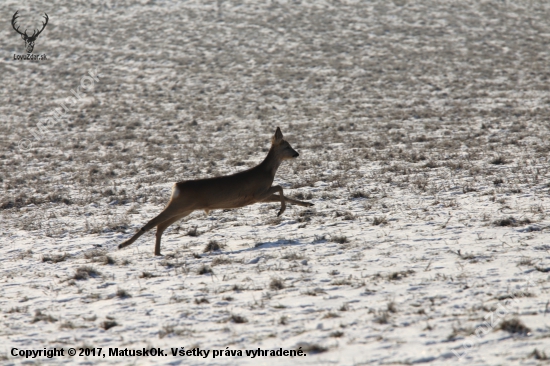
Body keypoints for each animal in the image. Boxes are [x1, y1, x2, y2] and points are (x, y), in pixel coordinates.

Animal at [118, 127, 312, 256]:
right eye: (286, 146)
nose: (296, 154)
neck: (266, 172)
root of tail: (176, 187)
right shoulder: (256, 194)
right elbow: (280, 187)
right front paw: (280, 211)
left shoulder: (257, 198)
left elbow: (286, 194)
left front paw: (308, 204)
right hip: (180, 204)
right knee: (152, 222)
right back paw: (123, 245)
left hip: (186, 208)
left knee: (161, 225)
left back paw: (157, 253)